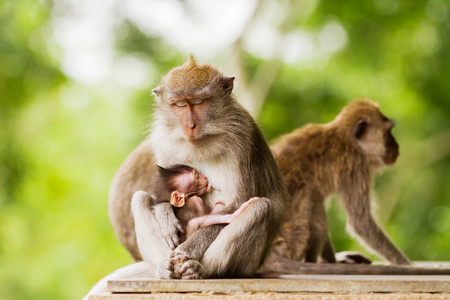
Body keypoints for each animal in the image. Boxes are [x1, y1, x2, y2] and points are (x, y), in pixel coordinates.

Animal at [107, 55, 286, 278]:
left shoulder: (244, 137)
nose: (190, 125)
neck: (202, 139)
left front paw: (189, 248)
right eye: (180, 105)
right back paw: (163, 268)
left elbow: (239, 202)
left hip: (248, 266)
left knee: (260, 207)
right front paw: (166, 216)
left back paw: (203, 269)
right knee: (140, 199)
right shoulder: (163, 140)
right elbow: (160, 192)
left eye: (199, 102)